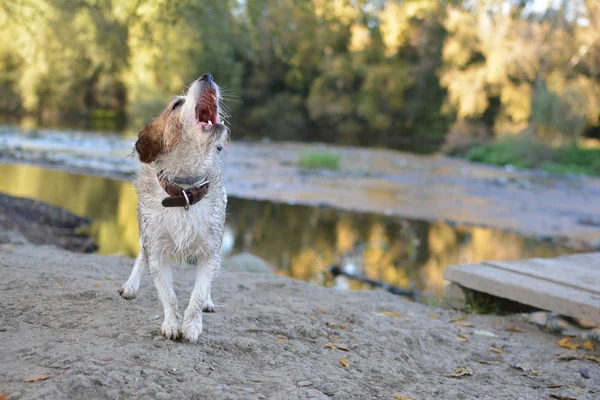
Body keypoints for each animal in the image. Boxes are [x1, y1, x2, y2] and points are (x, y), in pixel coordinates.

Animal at [118, 73, 229, 342]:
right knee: (140, 255)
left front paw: (192, 325)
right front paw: (171, 324)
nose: (207, 75)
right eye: (177, 105)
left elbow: (198, 293)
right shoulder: (156, 249)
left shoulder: (210, 250)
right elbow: (167, 294)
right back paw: (131, 286)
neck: (184, 191)